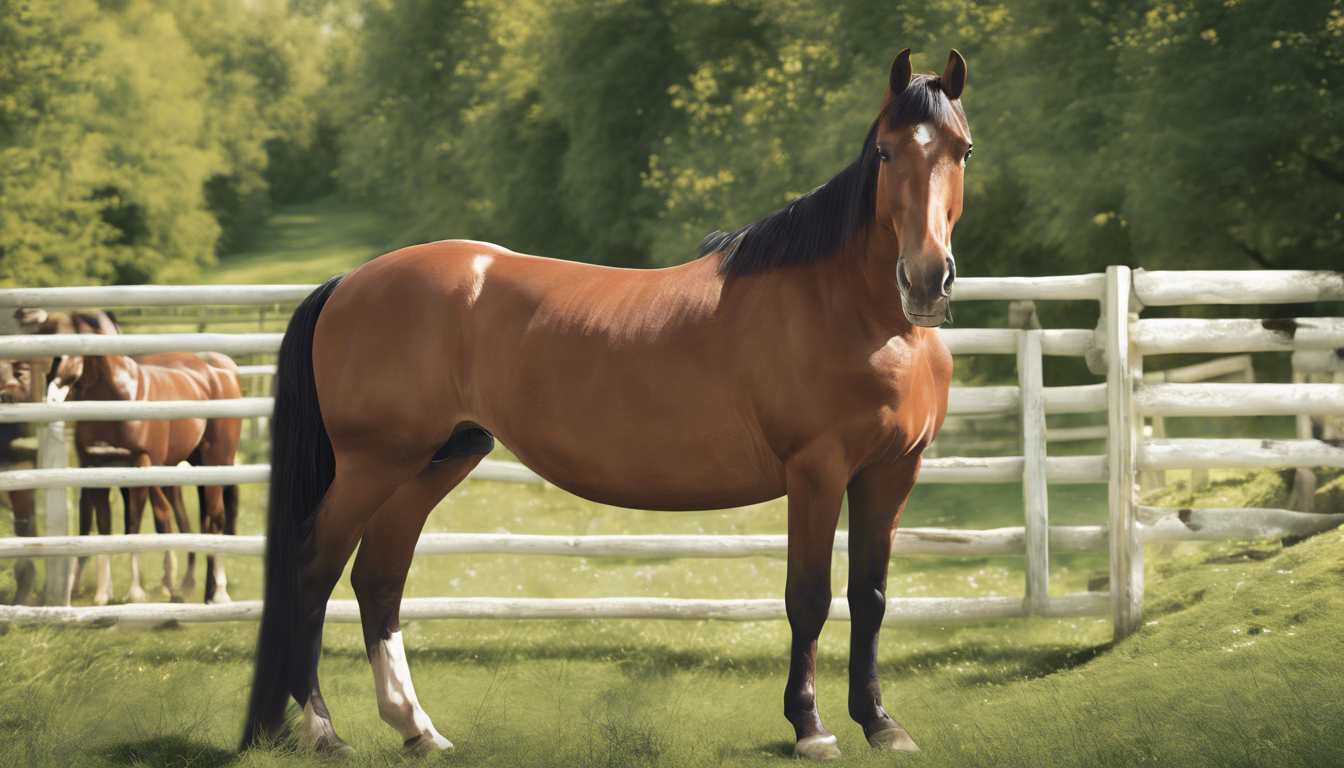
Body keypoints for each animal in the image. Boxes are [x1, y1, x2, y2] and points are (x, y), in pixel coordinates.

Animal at [24, 309, 244, 604]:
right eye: (46, 338)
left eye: (76, 341)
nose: (52, 391)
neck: (119, 397)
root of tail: (224, 370)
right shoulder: (96, 468)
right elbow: (104, 526)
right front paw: (102, 595)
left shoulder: (141, 466)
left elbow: (135, 524)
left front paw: (136, 592)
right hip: (195, 465)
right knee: (202, 519)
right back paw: (200, 588)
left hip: (216, 461)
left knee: (216, 517)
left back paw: (217, 593)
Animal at [242, 49, 969, 760]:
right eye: (885, 153)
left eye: (961, 149)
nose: (926, 279)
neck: (851, 314)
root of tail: (348, 283)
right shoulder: (816, 472)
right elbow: (809, 598)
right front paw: (811, 727)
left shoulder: (890, 472)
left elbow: (869, 598)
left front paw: (880, 724)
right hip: (373, 465)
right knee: (312, 571)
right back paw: (324, 732)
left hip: (433, 462)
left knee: (378, 580)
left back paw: (418, 730)